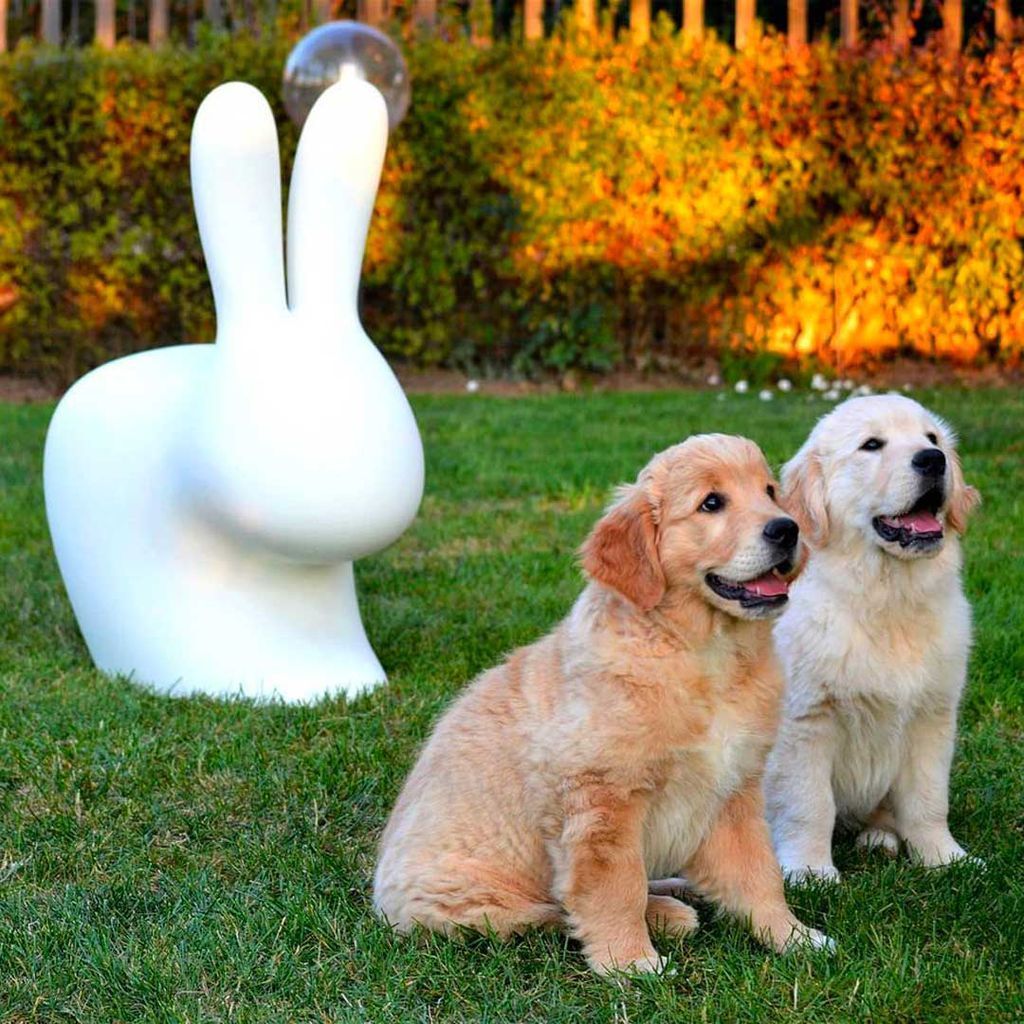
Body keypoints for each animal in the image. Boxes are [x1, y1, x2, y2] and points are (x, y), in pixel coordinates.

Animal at [374, 434, 831, 974]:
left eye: (770, 492)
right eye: (711, 503)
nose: (787, 529)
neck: (702, 653)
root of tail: (380, 895)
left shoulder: (735, 788)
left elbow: (759, 872)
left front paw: (793, 937)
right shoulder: (603, 799)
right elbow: (615, 886)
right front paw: (630, 961)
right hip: (474, 900)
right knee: (548, 909)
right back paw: (664, 913)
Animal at [765, 391, 978, 880]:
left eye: (932, 438)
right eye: (872, 445)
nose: (934, 460)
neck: (886, 598)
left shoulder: (932, 716)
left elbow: (927, 800)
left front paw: (945, 859)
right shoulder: (805, 721)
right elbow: (809, 805)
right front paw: (811, 874)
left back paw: (879, 839)